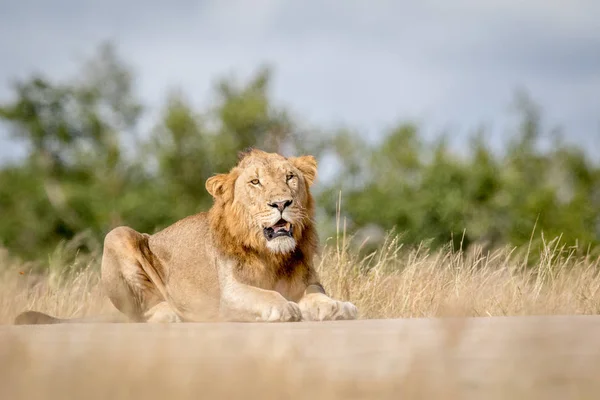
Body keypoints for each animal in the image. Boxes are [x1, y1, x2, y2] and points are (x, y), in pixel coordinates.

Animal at [15, 148, 356, 324]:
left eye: (290, 178)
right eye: (255, 182)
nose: (282, 203)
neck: (273, 256)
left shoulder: (308, 280)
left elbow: (317, 294)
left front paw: (338, 306)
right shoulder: (230, 293)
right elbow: (265, 295)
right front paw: (285, 307)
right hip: (118, 235)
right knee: (138, 314)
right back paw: (169, 314)